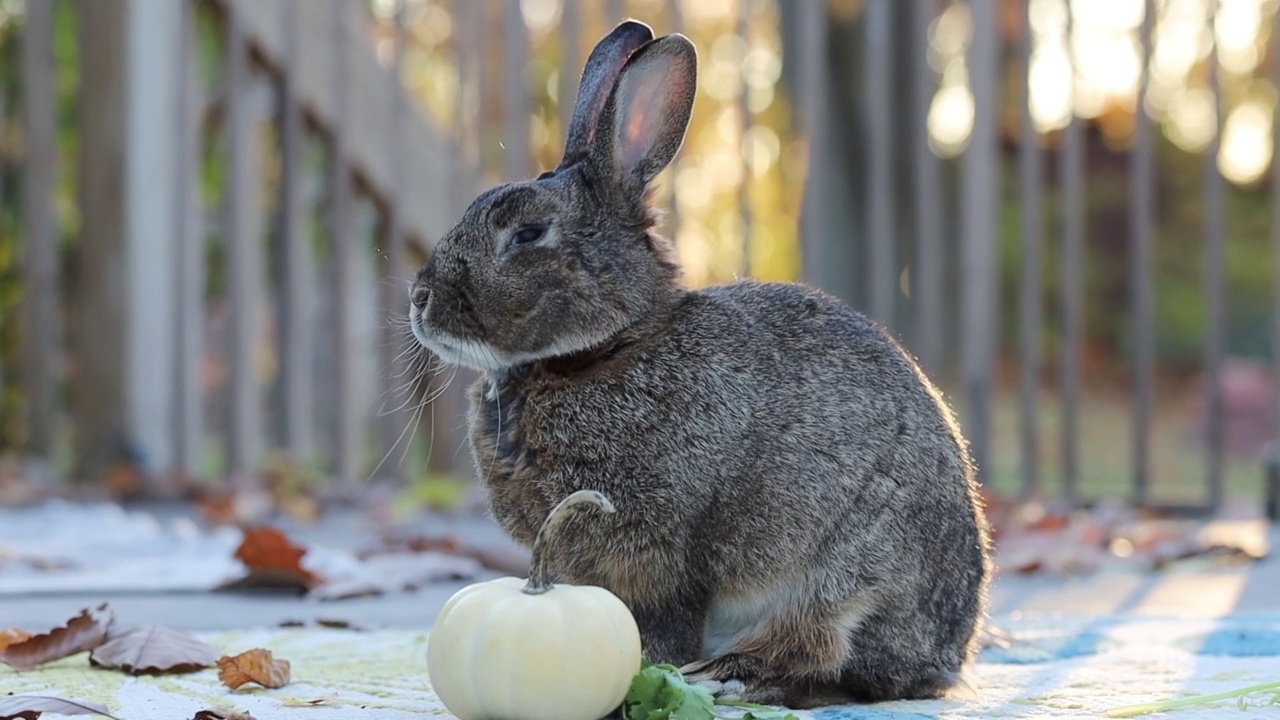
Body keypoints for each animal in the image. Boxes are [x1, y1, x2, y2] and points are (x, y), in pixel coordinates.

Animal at [414, 20, 993, 707]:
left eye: (528, 234)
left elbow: (665, 621)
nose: (419, 299)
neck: (599, 351)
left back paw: (730, 674)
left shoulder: (664, 553)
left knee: (824, 653)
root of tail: (948, 651)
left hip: (851, 572)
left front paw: (653, 671)